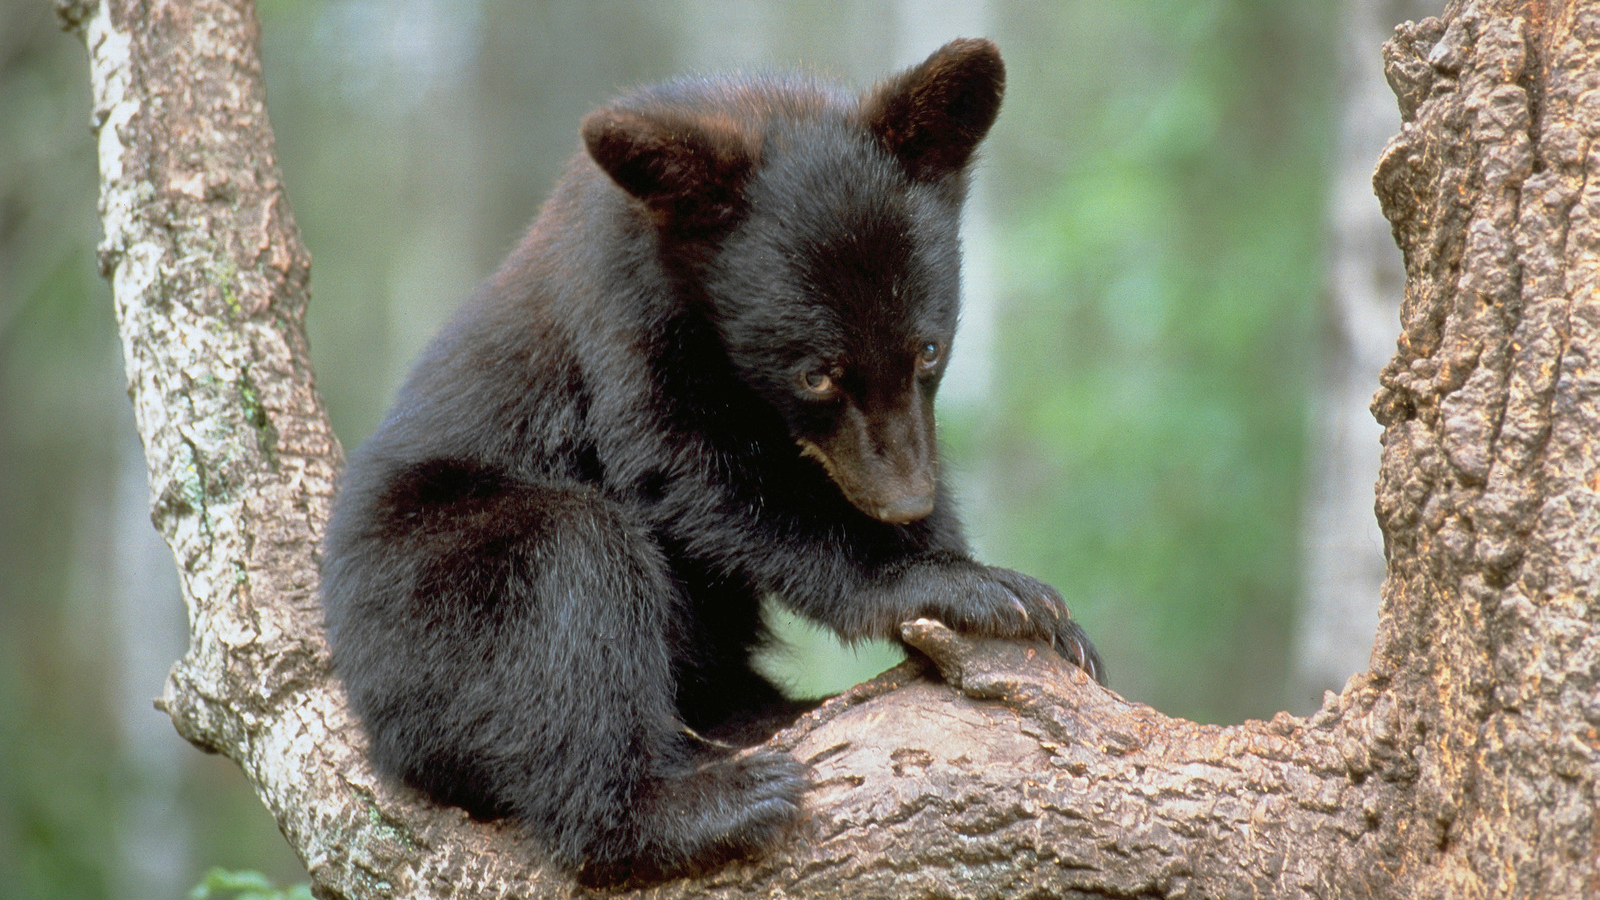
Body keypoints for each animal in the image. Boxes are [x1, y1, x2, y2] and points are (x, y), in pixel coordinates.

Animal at [320, 36, 1107, 883]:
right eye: (816, 373)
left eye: (928, 348)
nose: (903, 499)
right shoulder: (622, 322)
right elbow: (697, 476)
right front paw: (961, 586)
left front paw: (1040, 616)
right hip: (420, 601)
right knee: (570, 559)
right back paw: (695, 808)